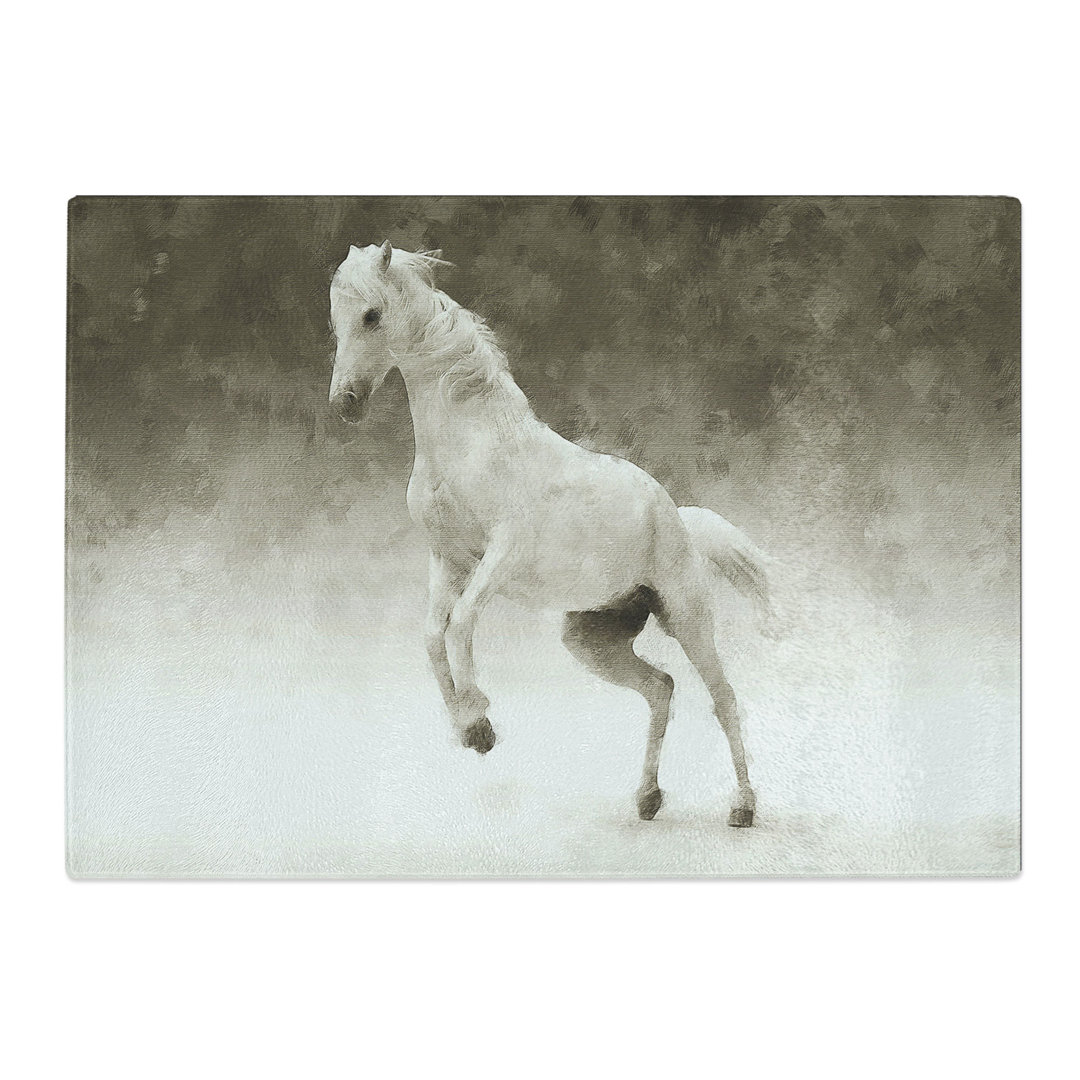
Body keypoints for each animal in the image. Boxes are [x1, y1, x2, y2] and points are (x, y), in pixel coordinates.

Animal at [328, 241, 770, 826]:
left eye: (372, 315)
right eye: (334, 321)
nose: (345, 403)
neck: (470, 446)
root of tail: (675, 515)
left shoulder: (501, 555)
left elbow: (460, 624)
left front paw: (480, 722)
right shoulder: (448, 560)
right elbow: (430, 635)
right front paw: (468, 727)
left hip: (687, 617)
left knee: (723, 698)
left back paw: (742, 807)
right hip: (590, 637)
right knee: (661, 688)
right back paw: (648, 799)